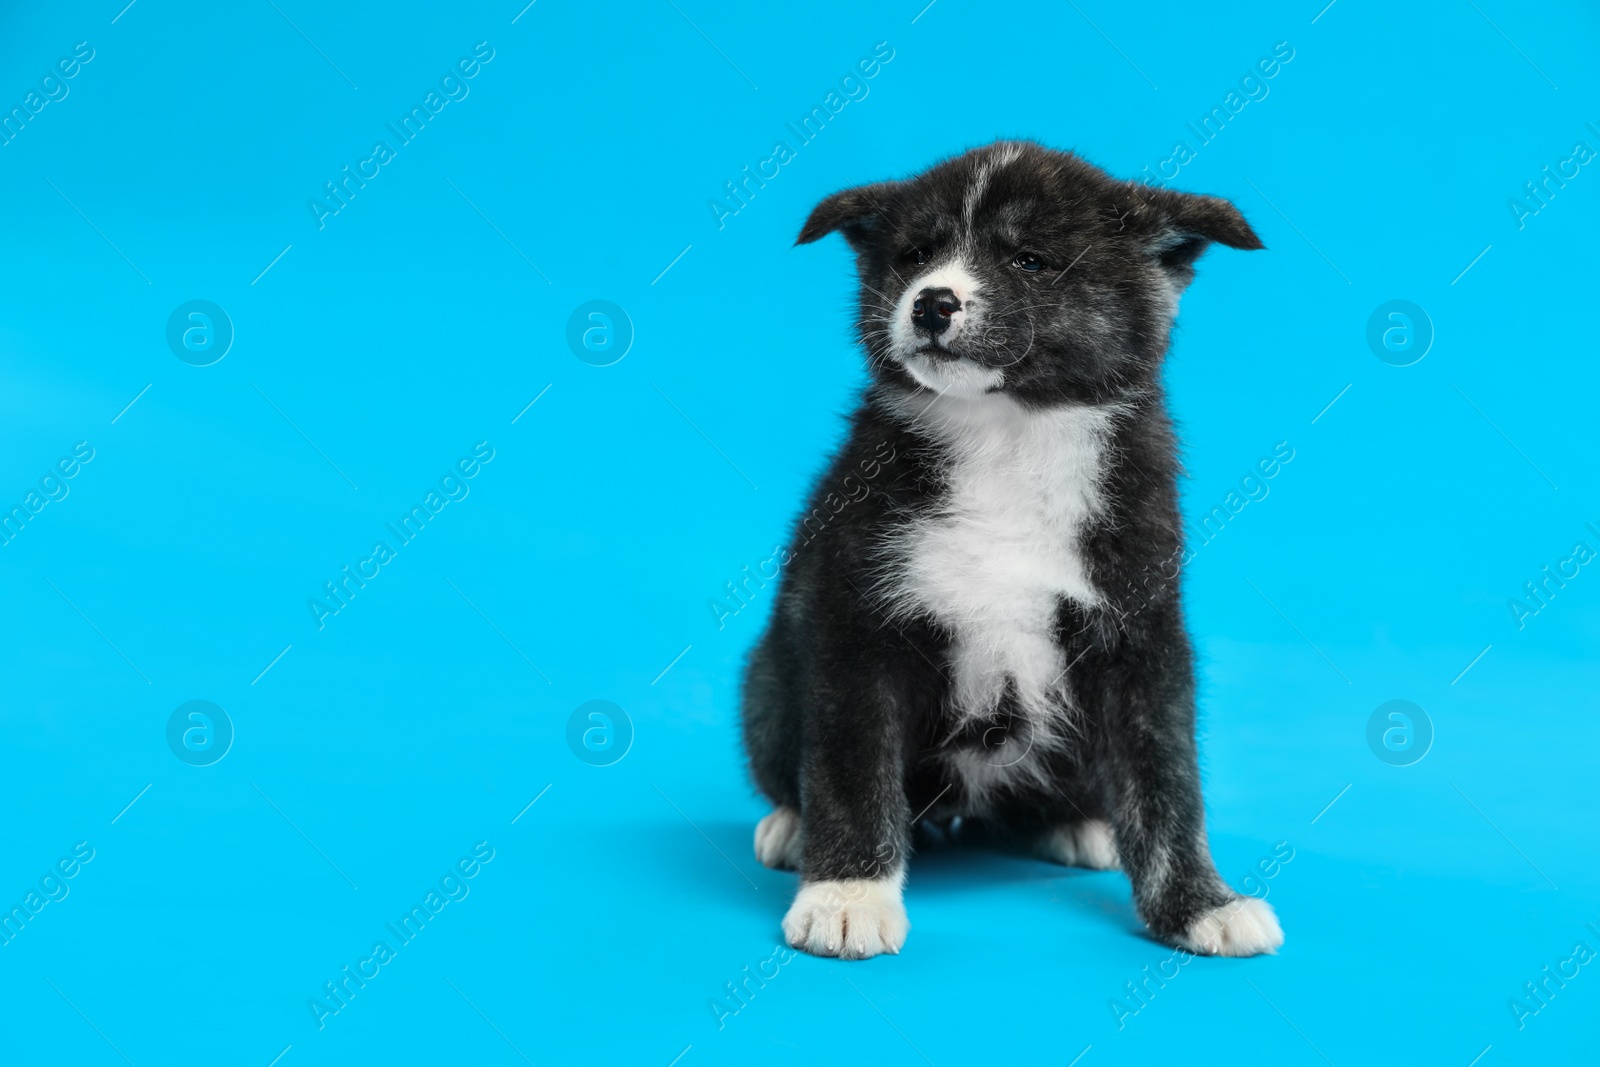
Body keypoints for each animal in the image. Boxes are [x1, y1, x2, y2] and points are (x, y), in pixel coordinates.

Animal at [739, 139, 1286, 959]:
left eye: (1031, 259)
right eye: (915, 253)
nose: (932, 302)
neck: (1006, 439)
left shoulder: (1141, 635)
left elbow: (1166, 780)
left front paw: (1200, 904)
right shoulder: (855, 623)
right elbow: (852, 769)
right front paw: (848, 894)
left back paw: (1079, 825)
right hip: (768, 684)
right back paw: (790, 825)